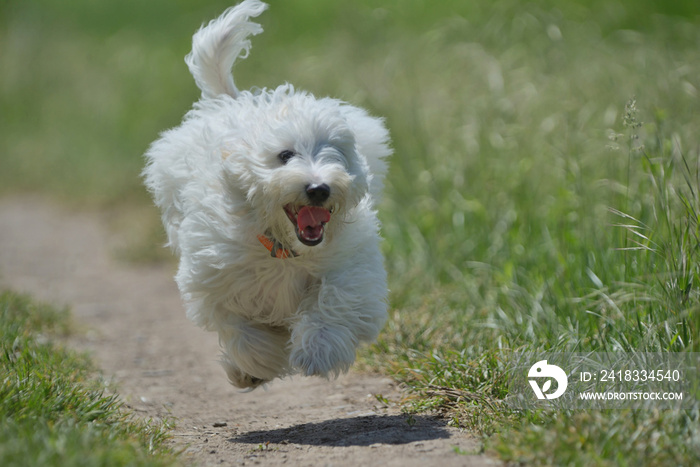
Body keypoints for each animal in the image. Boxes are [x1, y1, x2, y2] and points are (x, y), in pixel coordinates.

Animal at [142, 0, 392, 392]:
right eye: (285, 155)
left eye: (334, 153)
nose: (319, 188)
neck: (284, 250)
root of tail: (234, 103)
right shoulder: (216, 278)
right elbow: (239, 327)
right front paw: (255, 366)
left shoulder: (350, 268)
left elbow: (336, 300)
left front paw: (317, 351)